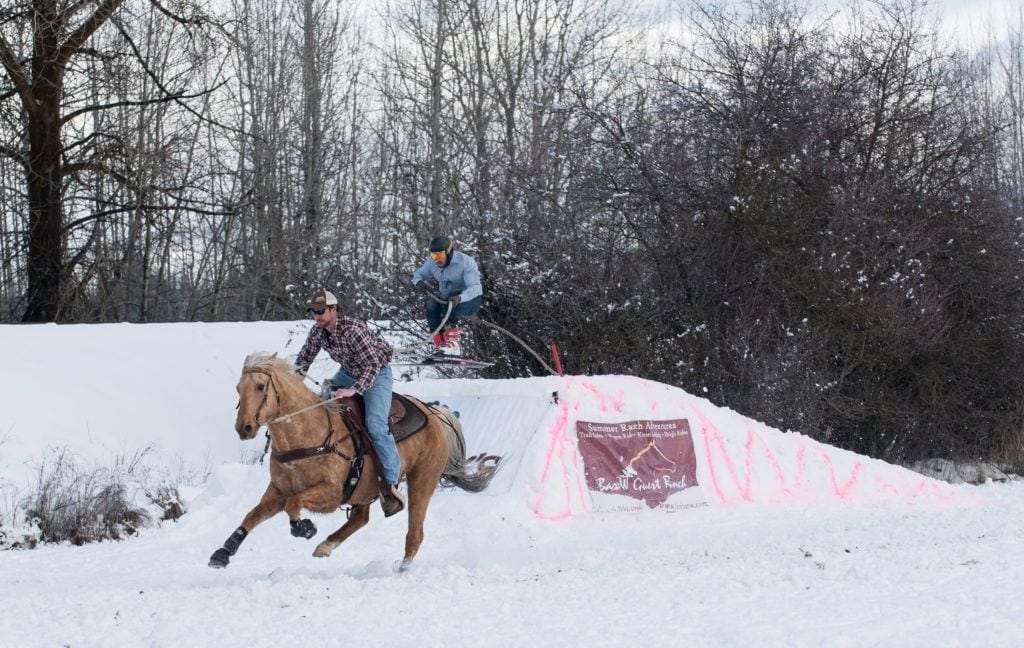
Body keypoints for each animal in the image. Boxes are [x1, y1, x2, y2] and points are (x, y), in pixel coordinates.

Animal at [207, 352, 495, 569]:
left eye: (260, 386)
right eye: (238, 388)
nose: (244, 427)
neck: (307, 435)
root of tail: (435, 413)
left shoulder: (331, 493)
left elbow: (294, 504)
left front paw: (304, 527)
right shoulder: (277, 490)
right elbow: (253, 514)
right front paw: (223, 552)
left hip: (422, 480)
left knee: (415, 530)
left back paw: (403, 567)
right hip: (365, 489)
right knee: (360, 519)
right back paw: (326, 545)